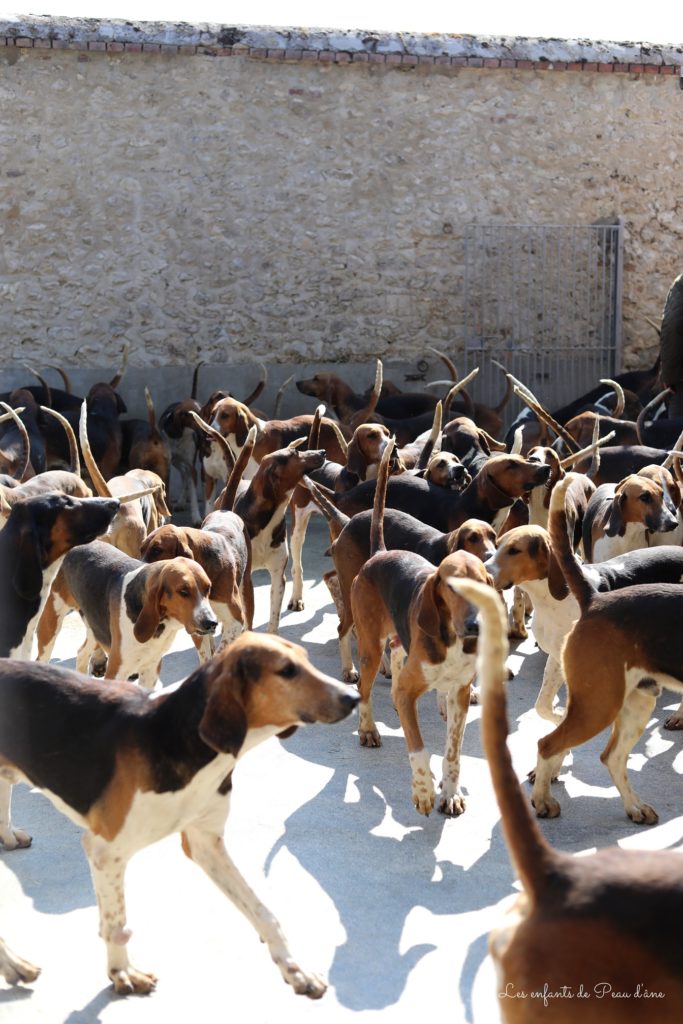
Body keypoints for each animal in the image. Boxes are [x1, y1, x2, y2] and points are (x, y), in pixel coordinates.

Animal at [0, 634, 360, 995]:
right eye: (286, 671)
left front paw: (295, 970)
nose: (354, 697)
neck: (179, 741)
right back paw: (14, 964)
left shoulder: (205, 843)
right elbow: (117, 925)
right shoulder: (106, 852)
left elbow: (264, 913)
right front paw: (122, 972)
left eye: (307, 659)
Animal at [36, 540, 216, 692]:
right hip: (50, 625)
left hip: (96, 629)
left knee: (81, 654)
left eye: (208, 588)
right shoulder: (116, 670)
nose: (211, 623)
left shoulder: (151, 670)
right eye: (183, 591)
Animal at [532, 477, 683, 823]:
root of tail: (594, 598)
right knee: (548, 744)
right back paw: (543, 800)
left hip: (636, 702)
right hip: (598, 705)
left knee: (611, 757)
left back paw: (635, 807)